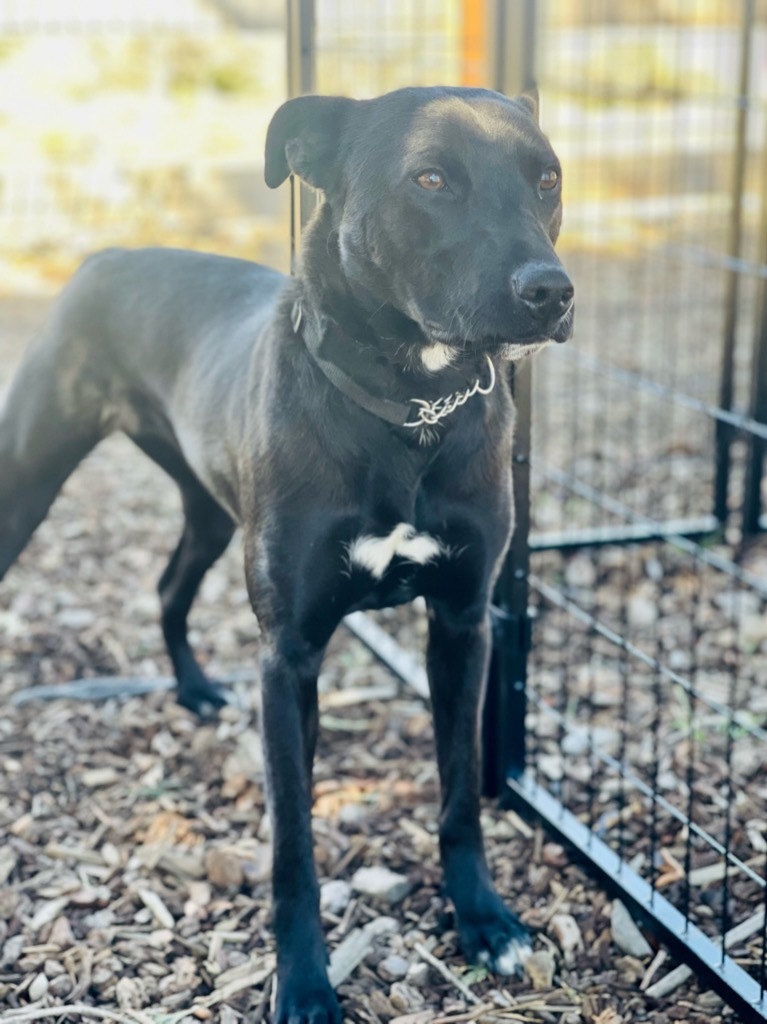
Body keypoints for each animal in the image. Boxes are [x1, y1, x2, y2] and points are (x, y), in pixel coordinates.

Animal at [1, 86, 569, 1015]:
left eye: (547, 178)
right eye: (430, 178)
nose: (550, 291)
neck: (410, 407)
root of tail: (107, 254)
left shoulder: (462, 625)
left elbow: (458, 796)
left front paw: (484, 921)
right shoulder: (289, 655)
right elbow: (292, 844)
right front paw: (303, 981)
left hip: (210, 510)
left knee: (168, 586)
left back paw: (195, 691)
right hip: (27, 477)